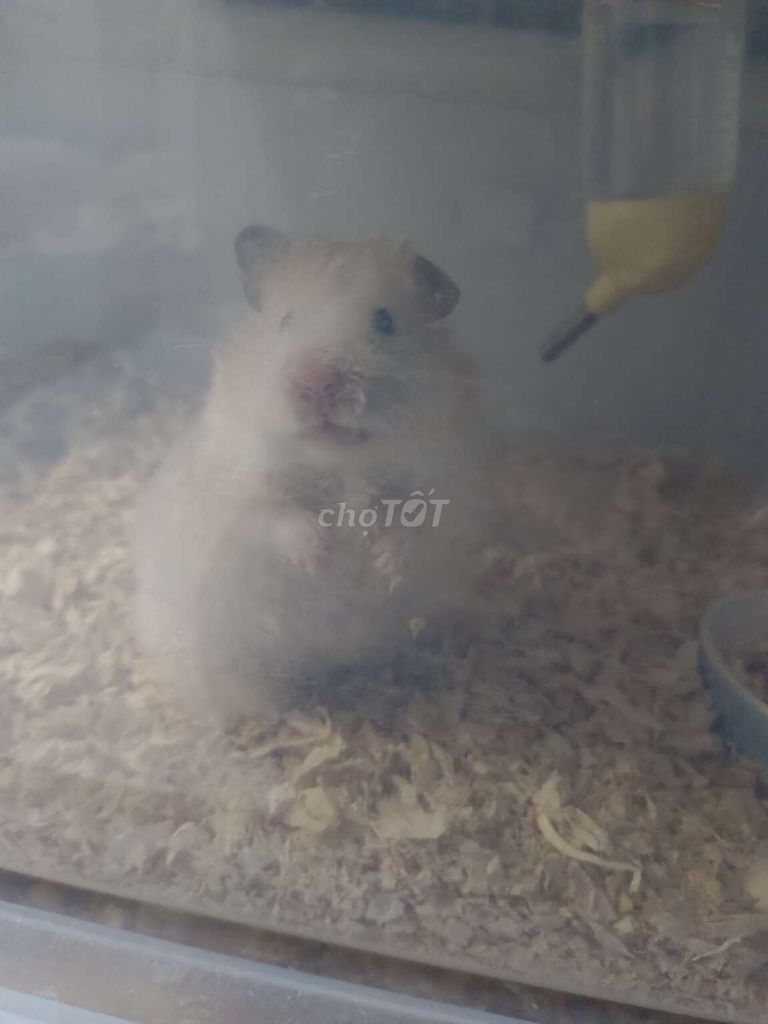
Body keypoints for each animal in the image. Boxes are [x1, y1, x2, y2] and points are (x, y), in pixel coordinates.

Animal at [135, 225, 505, 727]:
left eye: (384, 322)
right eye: (286, 321)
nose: (317, 382)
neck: (340, 463)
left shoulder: (450, 480)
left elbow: (417, 520)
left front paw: (383, 563)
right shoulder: (237, 493)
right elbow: (276, 518)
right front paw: (321, 557)